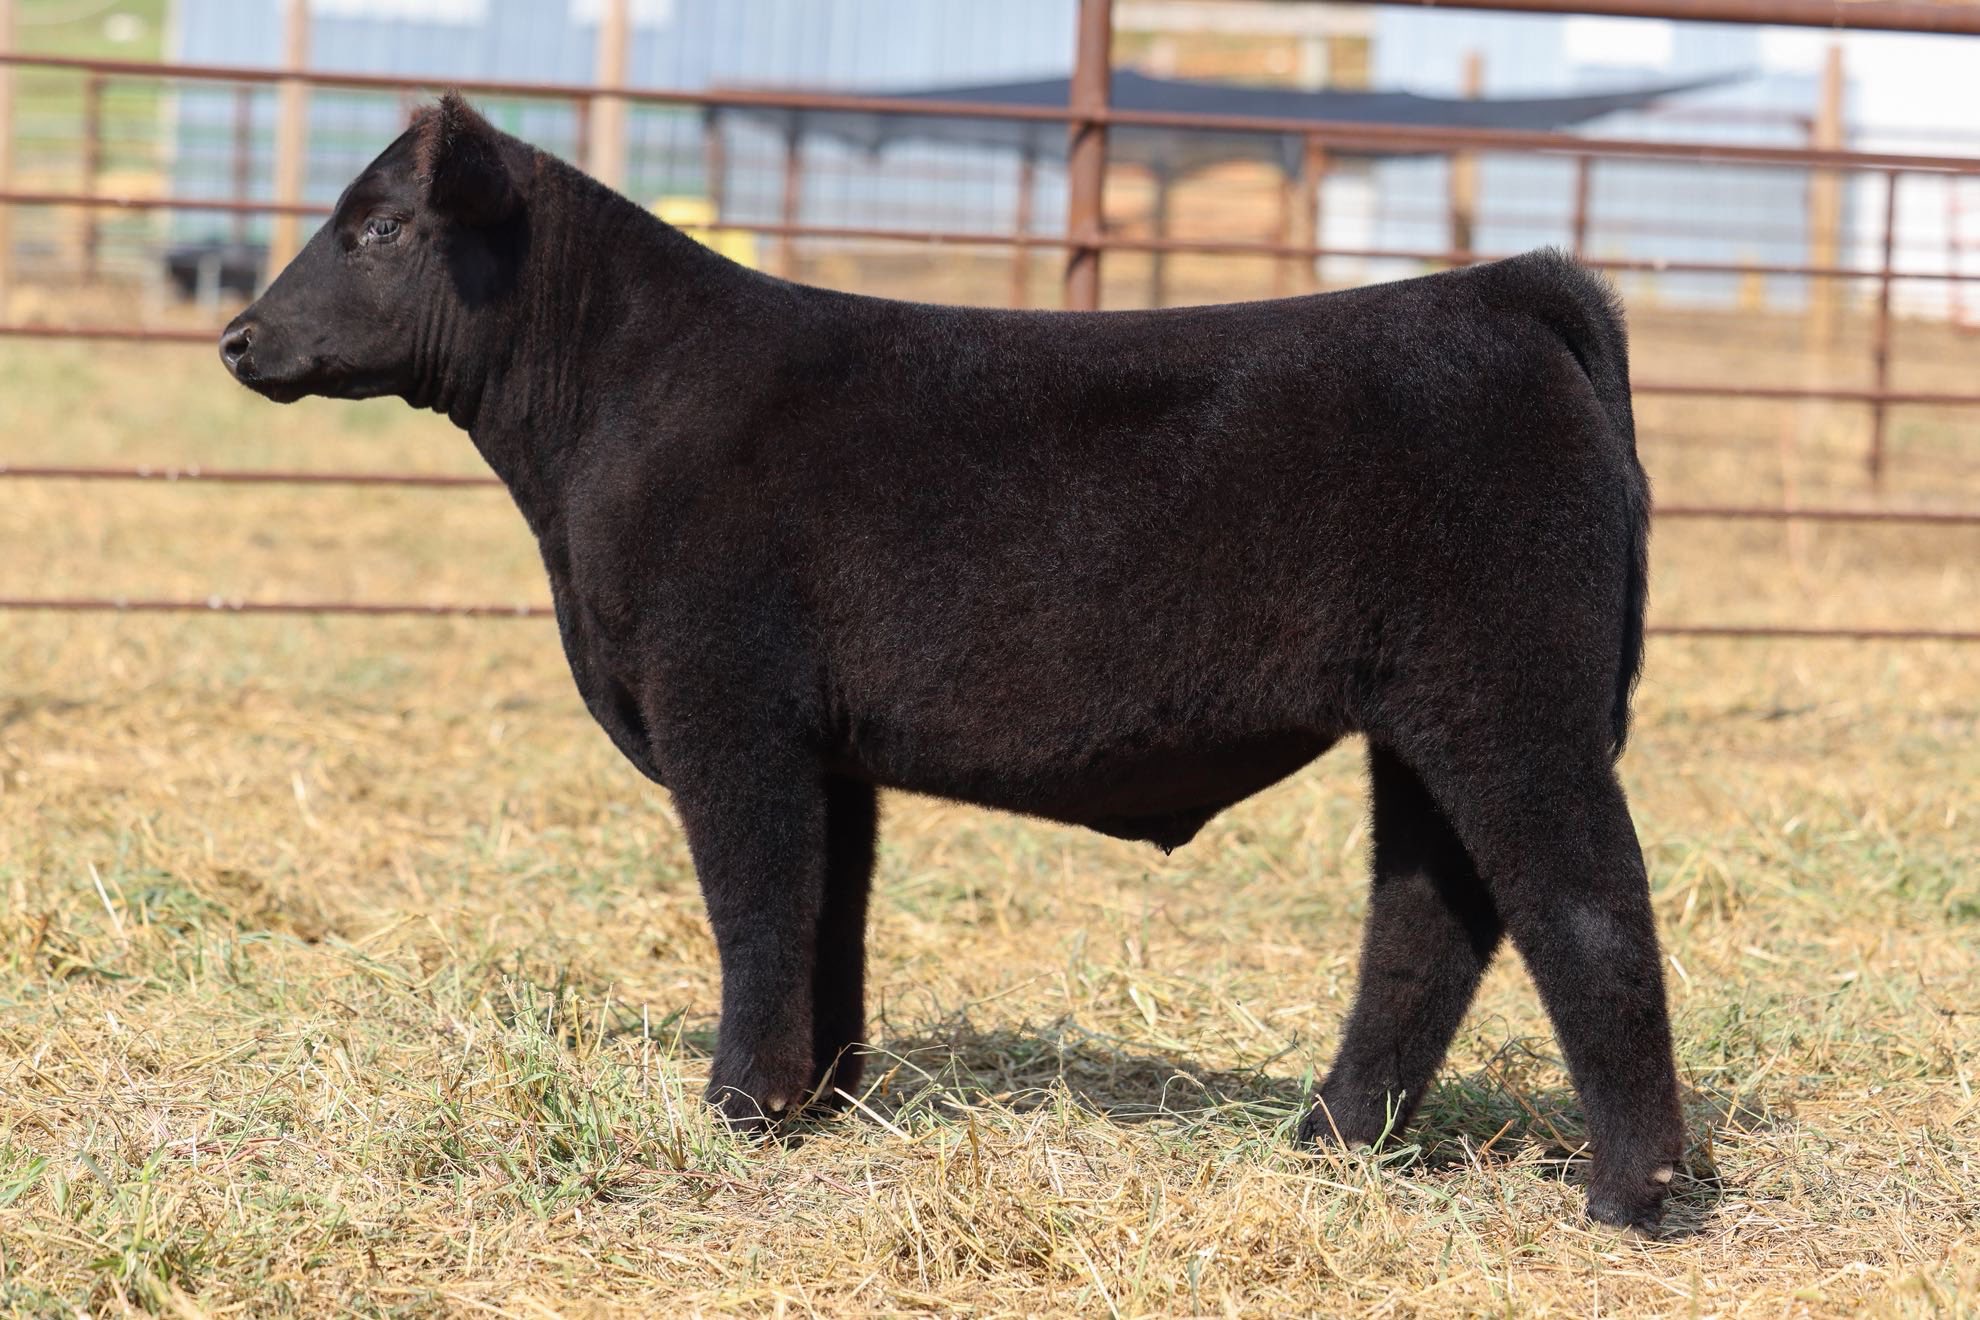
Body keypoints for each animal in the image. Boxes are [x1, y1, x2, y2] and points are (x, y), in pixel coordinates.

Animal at [219, 95, 1683, 1232]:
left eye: (380, 227)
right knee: (1430, 914)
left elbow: (757, 902)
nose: (238, 337)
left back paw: (1637, 1191)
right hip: (1422, 718)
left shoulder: (727, 708)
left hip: (1512, 702)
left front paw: (741, 1107)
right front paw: (820, 1098)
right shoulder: (827, 745)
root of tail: (1502, 290)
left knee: (1585, 899)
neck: (606, 415)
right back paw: (1334, 1139)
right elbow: (829, 911)